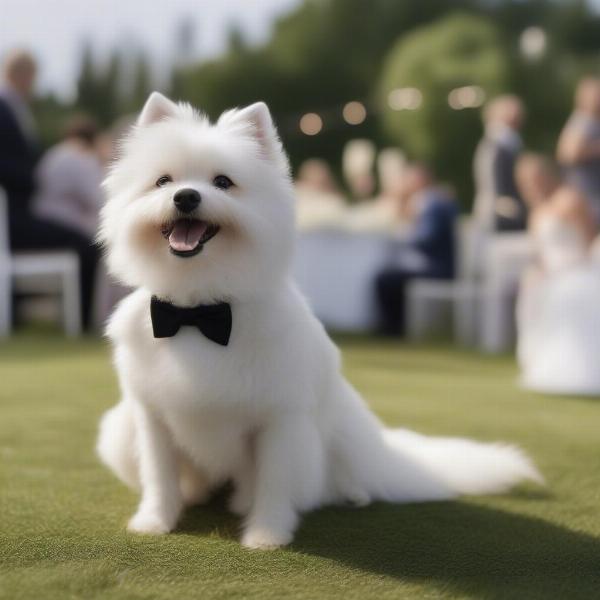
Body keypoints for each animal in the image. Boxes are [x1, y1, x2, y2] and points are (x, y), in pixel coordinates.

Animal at [97, 92, 540, 548]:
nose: (186, 196)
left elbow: (273, 484)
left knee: (327, 483)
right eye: (163, 181)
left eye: (222, 182)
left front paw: (266, 535)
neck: (199, 310)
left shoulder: (279, 420)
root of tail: (384, 452)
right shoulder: (151, 417)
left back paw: (351, 493)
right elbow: (160, 477)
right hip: (117, 432)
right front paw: (155, 522)